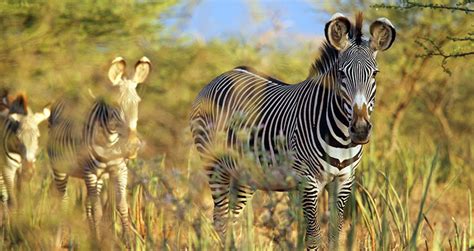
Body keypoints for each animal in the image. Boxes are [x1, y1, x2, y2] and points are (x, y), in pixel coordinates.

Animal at [0, 94, 50, 222]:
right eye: (17, 137)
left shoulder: (22, 174)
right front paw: (10, 224)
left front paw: (20, 218)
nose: (28, 170)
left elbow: (21, 199)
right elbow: (12, 201)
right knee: (4, 194)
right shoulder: (8, 169)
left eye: (38, 137)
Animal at [47, 56, 151, 245]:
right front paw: (98, 242)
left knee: (87, 204)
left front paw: (128, 241)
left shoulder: (120, 170)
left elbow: (122, 206)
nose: (132, 146)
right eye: (115, 104)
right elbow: (97, 210)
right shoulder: (90, 172)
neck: (110, 144)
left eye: (138, 102)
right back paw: (60, 240)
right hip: (60, 169)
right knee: (63, 202)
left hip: (97, 177)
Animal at [191, 13, 398, 249]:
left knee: (232, 219)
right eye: (341, 74)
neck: (342, 140)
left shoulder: (345, 181)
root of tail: (222, 75)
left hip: (245, 174)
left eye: (375, 74)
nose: (361, 130)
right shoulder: (308, 182)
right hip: (214, 165)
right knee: (220, 219)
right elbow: (314, 237)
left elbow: (335, 236)